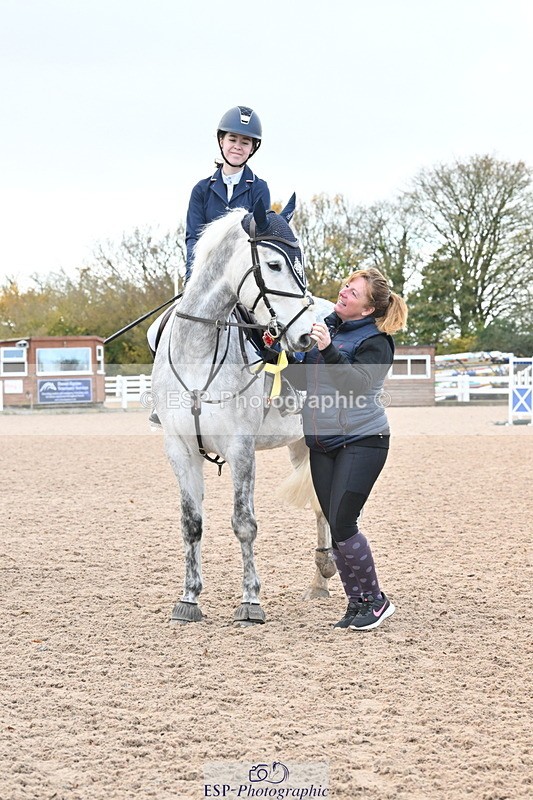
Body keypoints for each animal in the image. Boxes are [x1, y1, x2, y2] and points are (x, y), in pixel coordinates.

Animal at [151, 197, 336, 625]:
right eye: (274, 265)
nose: (305, 335)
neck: (198, 351)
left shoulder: (240, 448)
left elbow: (244, 523)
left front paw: (251, 601)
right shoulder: (179, 447)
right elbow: (191, 523)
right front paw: (189, 598)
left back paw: (326, 571)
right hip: (299, 444)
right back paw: (320, 579)